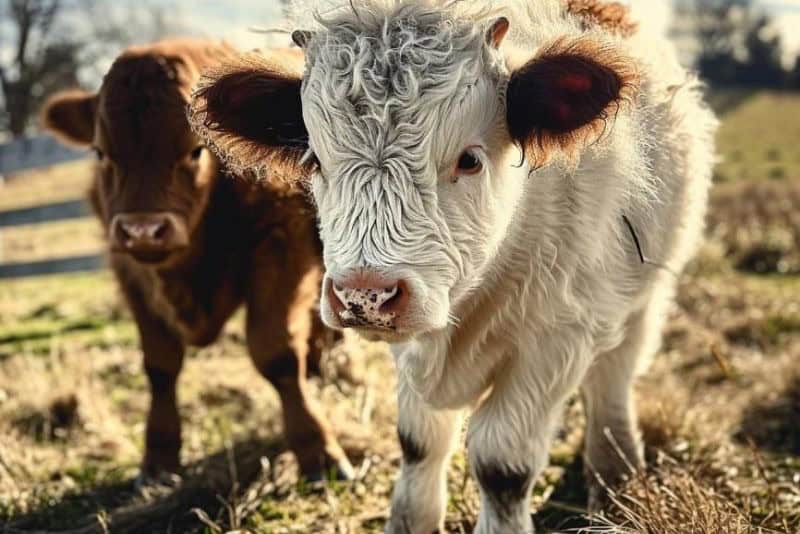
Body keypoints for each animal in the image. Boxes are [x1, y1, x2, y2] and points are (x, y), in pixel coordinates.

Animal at [40, 39, 353, 483]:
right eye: (100, 153)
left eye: (194, 151)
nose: (143, 230)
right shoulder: (132, 274)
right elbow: (159, 364)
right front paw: (158, 459)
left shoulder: (280, 252)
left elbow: (274, 353)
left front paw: (319, 453)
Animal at [188, 1, 716, 532]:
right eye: (315, 160)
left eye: (469, 160)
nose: (365, 296)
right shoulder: (410, 342)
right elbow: (419, 441)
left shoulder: (557, 341)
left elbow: (501, 463)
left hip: (645, 293)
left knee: (615, 376)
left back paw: (615, 473)